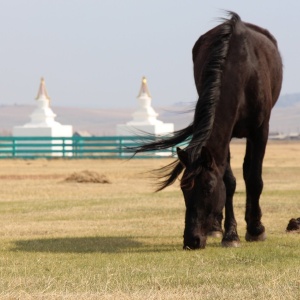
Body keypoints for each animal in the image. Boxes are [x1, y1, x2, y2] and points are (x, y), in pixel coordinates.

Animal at [132, 11, 282, 250]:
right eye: (183, 188)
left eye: (208, 188)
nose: (191, 241)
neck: (243, 70)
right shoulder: (225, 137)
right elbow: (229, 182)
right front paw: (230, 234)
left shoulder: (261, 132)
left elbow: (254, 178)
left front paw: (256, 230)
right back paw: (215, 228)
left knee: (249, 172)